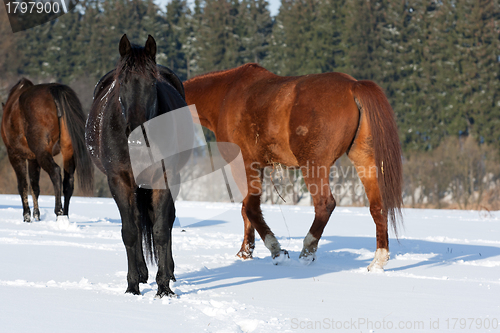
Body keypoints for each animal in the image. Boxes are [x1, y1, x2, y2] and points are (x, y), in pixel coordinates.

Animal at [0, 79, 93, 222]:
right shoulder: (33, 158)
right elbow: (35, 186)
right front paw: (36, 216)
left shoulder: (15, 155)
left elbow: (23, 185)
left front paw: (27, 217)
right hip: (68, 152)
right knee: (68, 181)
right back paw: (65, 216)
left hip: (42, 154)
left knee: (55, 172)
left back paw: (58, 211)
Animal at [86, 35, 188, 296]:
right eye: (122, 82)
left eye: (152, 82)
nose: (136, 131)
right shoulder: (120, 181)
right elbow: (130, 232)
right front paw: (132, 286)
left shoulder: (164, 178)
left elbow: (160, 230)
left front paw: (163, 288)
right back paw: (142, 274)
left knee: (166, 222)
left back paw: (169, 273)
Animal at [186, 63, 404, 270]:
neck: (225, 95)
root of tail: (353, 85)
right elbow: (246, 208)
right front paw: (245, 252)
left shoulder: (244, 165)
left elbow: (250, 208)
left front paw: (275, 250)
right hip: (365, 162)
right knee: (378, 207)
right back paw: (378, 260)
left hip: (314, 166)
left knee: (325, 204)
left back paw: (307, 251)